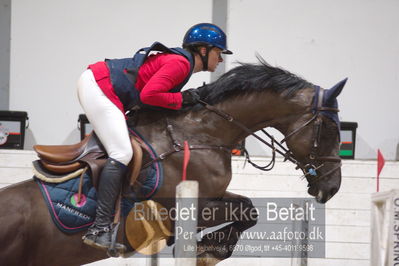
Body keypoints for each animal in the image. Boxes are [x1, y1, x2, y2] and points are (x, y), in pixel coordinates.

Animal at [0, 58, 346, 266]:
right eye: (330, 128)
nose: (332, 188)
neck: (202, 132)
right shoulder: (185, 206)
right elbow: (245, 212)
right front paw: (210, 250)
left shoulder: (214, 195)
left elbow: (248, 208)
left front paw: (209, 249)